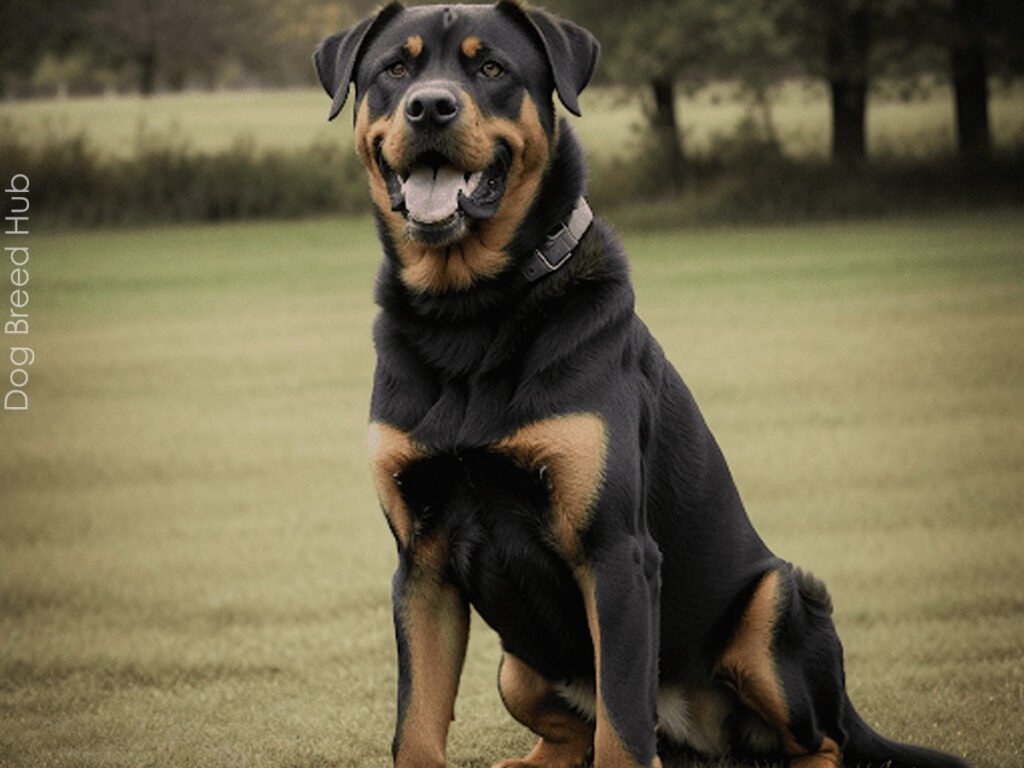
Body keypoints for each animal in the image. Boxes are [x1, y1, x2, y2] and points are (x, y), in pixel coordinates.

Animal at [315, 3, 970, 765]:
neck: (471, 311)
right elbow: (416, 725)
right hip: (517, 666)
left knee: (818, 742)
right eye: (396, 69)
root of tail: (695, 732)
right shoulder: (420, 563)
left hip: (777, 600)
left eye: (491, 68)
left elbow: (622, 727)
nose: (430, 106)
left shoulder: (617, 553)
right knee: (567, 732)